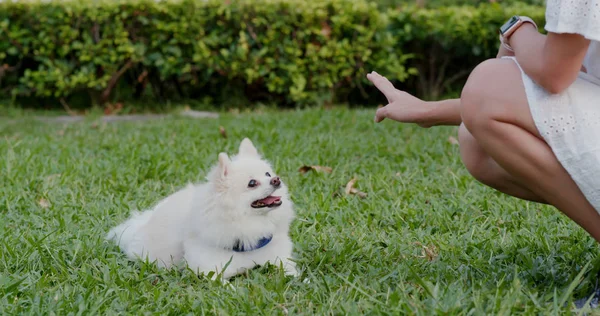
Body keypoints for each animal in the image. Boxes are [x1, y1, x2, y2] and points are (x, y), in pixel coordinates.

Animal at [106, 138, 298, 278]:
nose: (276, 180)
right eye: (252, 183)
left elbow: (291, 270)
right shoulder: (208, 269)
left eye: (268, 174)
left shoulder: (277, 256)